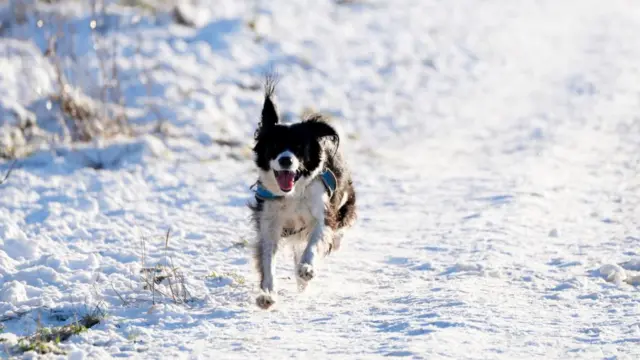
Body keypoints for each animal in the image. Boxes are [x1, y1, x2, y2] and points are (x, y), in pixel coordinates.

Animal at [249, 76, 358, 310]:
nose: (285, 160)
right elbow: (267, 261)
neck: (292, 194)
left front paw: (306, 269)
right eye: (274, 145)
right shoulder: (269, 222)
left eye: (299, 146)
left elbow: (314, 243)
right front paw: (267, 295)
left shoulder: (323, 214)